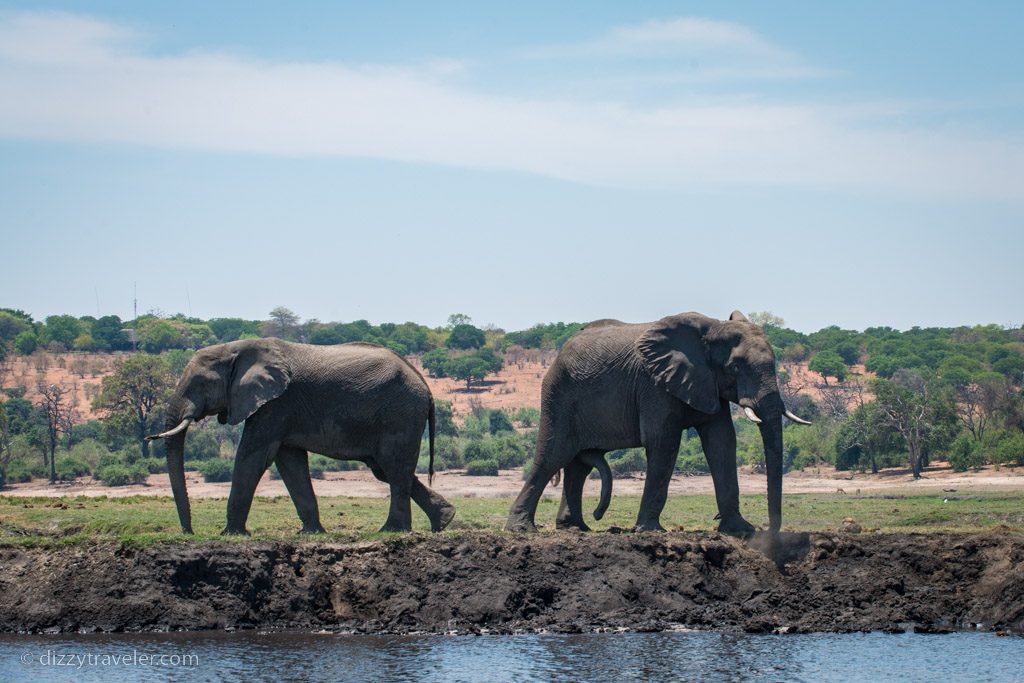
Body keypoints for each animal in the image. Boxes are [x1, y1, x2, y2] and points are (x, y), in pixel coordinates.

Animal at [147, 339, 456, 536]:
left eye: (199, 383)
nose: (189, 532)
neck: (234, 348)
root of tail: (425, 386)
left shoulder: (275, 404)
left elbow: (252, 456)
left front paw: (230, 534)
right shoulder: (281, 411)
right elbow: (289, 462)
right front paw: (311, 532)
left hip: (400, 415)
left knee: (394, 468)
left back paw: (392, 530)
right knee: (387, 469)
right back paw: (444, 520)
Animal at [503, 313, 806, 536]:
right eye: (734, 368)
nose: (772, 533)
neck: (712, 328)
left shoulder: (707, 384)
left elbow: (721, 441)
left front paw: (741, 530)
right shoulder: (654, 385)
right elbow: (663, 442)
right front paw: (649, 531)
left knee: (579, 465)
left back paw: (576, 528)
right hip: (558, 395)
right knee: (552, 457)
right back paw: (521, 530)